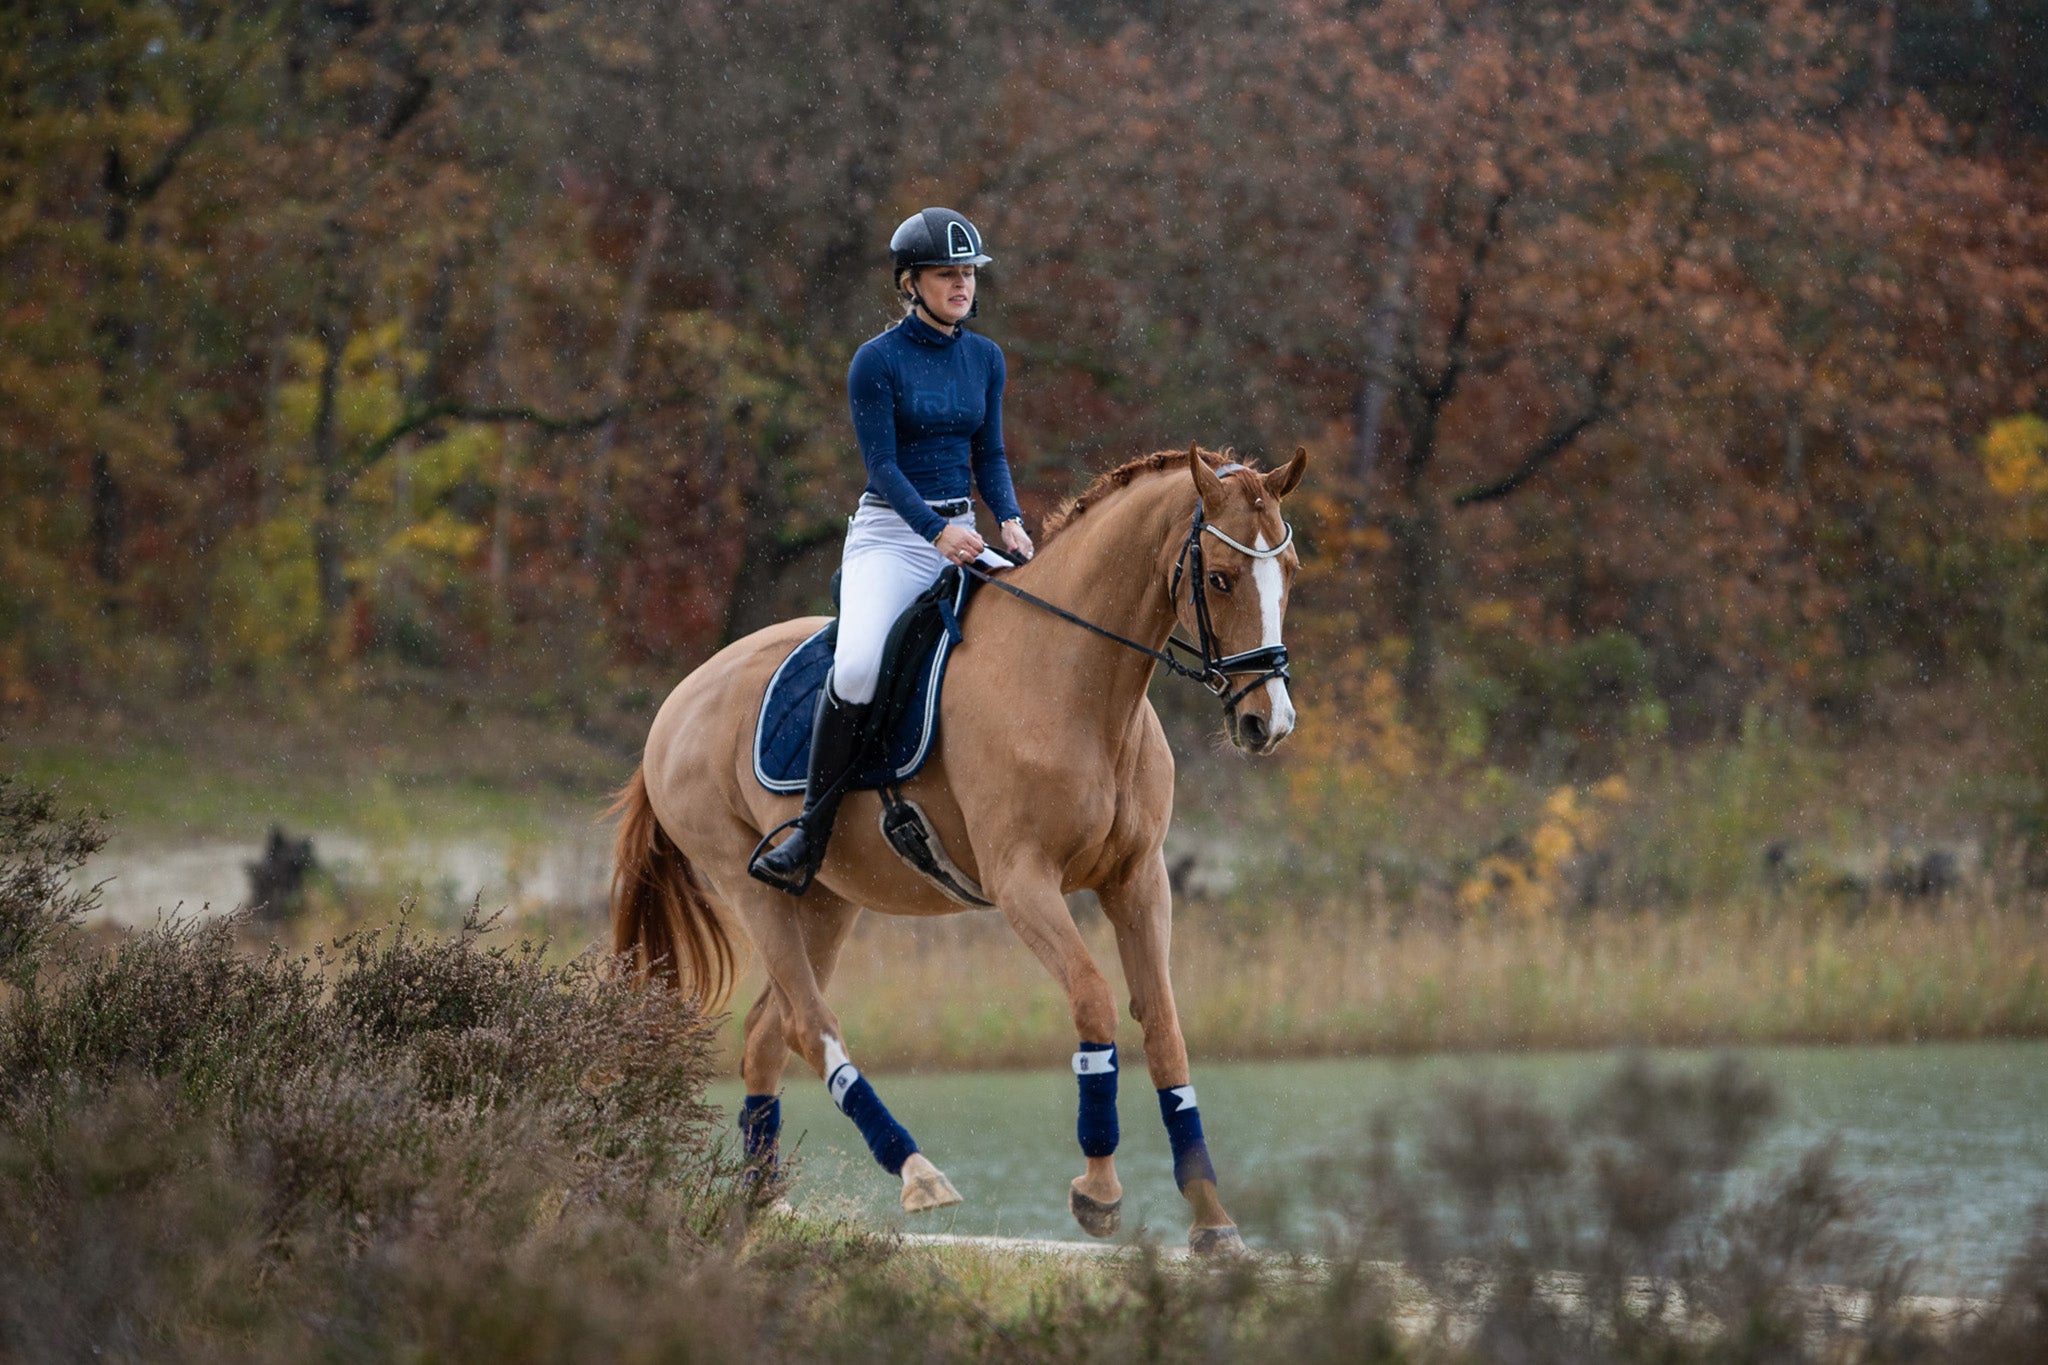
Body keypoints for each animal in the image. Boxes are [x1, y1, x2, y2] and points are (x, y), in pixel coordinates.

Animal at [614, 444, 1302, 1252]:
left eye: (1289, 573)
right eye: (1220, 577)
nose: (1268, 723)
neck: (1076, 680)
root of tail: (678, 702)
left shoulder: (1138, 879)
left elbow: (1164, 1028)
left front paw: (1212, 1220)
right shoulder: (1022, 882)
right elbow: (1094, 1000)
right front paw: (1098, 1190)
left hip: (824, 902)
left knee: (765, 1035)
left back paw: (760, 1200)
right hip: (752, 888)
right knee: (809, 1024)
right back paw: (916, 1172)